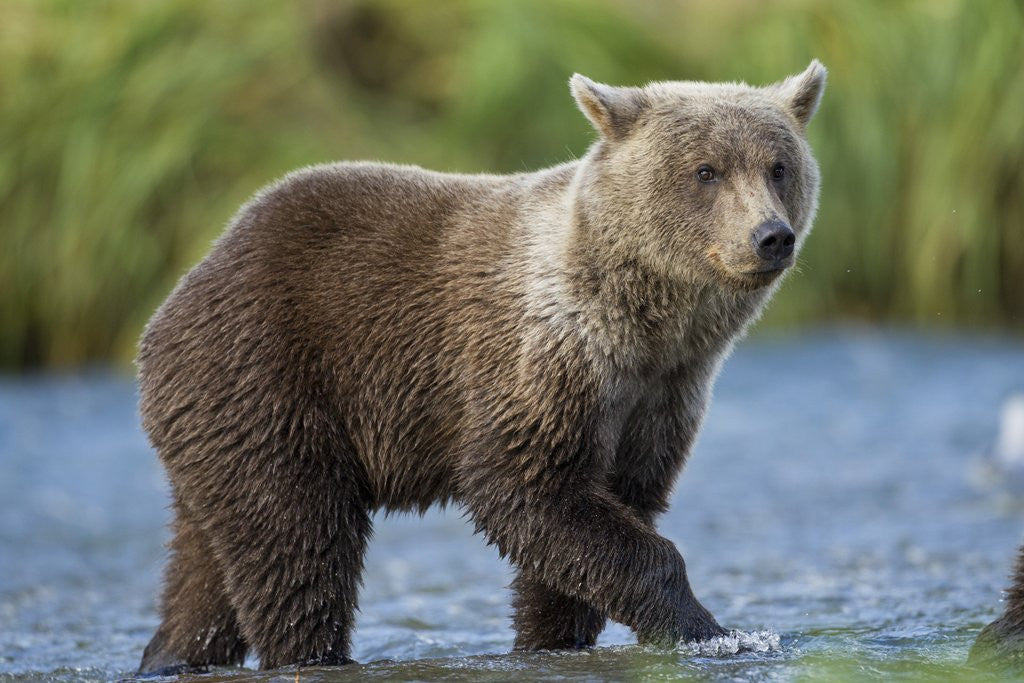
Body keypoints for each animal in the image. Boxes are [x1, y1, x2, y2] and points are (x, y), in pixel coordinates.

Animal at [137, 61, 826, 674]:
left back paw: (172, 653)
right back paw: (311, 652)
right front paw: (715, 631)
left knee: (207, 566)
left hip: (218, 428)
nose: (771, 236)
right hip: (269, 378)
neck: (648, 327)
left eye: (779, 166)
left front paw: (552, 637)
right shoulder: (541, 361)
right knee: (297, 541)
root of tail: (177, 295)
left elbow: (604, 515)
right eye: (706, 170)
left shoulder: (661, 396)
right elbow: (525, 488)